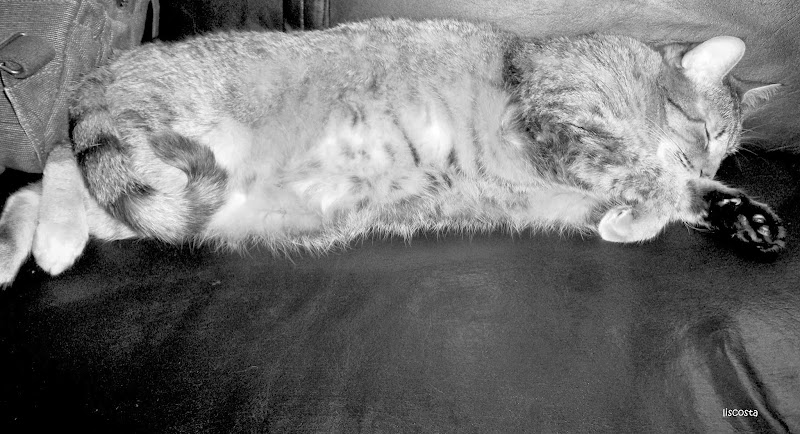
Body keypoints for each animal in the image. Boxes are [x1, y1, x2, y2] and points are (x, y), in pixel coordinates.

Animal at [0, 18, 786, 286]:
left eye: (726, 156)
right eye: (711, 135)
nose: (711, 165)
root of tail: (100, 75)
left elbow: (667, 194)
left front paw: (740, 215)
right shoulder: (563, 118)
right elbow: (644, 174)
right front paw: (652, 206)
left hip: (159, 205)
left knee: (40, 184)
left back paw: (27, 247)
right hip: (165, 142)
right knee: (60, 154)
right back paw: (49, 242)